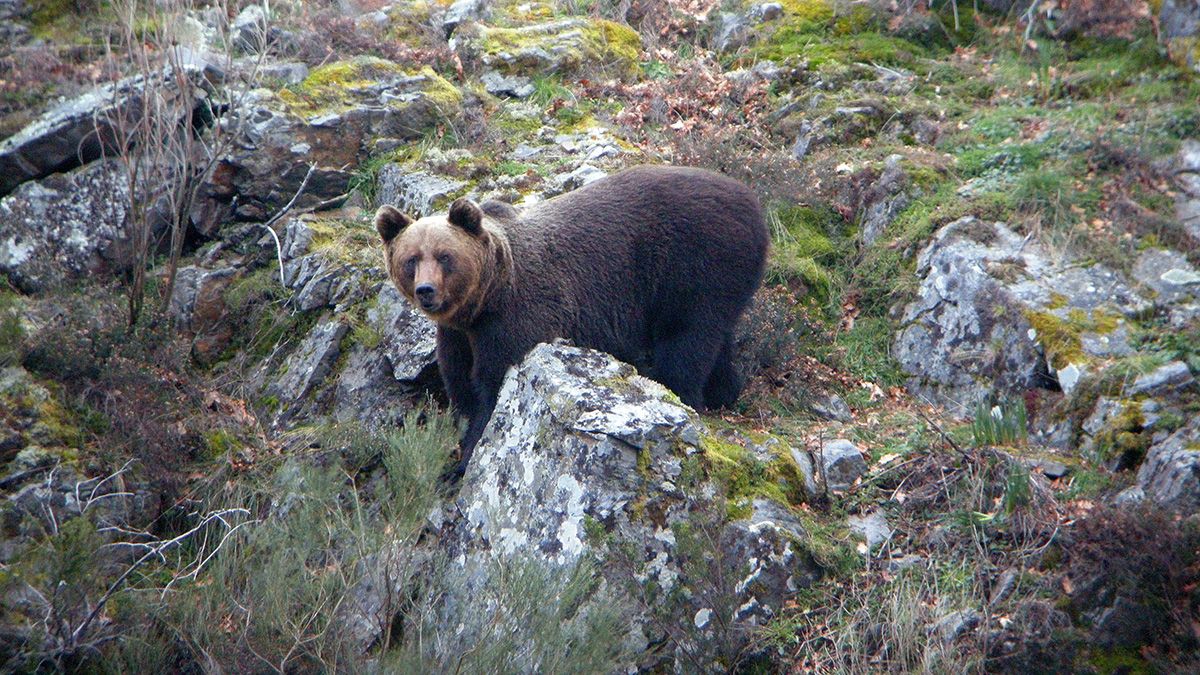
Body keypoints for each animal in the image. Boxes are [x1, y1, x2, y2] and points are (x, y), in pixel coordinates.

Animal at [376, 165, 768, 474]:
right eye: (411, 259)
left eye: (444, 256)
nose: (426, 290)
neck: (487, 298)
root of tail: (752, 200)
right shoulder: (457, 334)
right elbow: (460, 384)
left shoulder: (517, 319)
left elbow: (494, 389)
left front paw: (466, 457)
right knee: (717, 339)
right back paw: (725, 391)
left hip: (695, 266)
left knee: (686, 341)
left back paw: (684, 394)